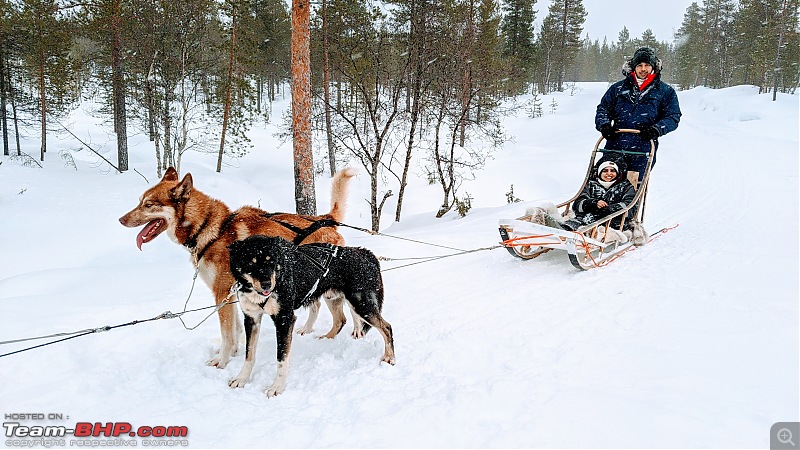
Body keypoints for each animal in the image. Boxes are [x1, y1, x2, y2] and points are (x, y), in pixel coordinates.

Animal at [225, 236, 394, 398]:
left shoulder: (284, 320)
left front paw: (277, 387)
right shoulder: (251, 319)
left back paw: (389, 357)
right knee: (340, 321)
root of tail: (364, 252)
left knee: (386, 327)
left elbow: (281, 359)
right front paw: (242, 378)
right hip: (333, 298)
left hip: (361, 305)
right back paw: (326, 338)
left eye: (271, 261)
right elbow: (249, 354)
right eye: (251, 263)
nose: (267, 284)